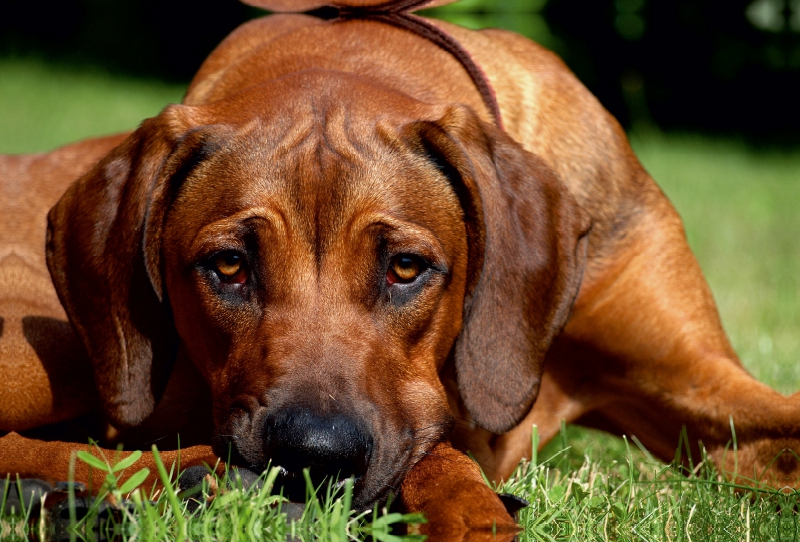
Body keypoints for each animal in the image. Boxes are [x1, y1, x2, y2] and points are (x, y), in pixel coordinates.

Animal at [1, 0, 800, 536]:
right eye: (228, 265)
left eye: (406, 267)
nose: (314, 457)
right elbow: (438, 450)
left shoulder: (694, 377)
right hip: (51, 342)